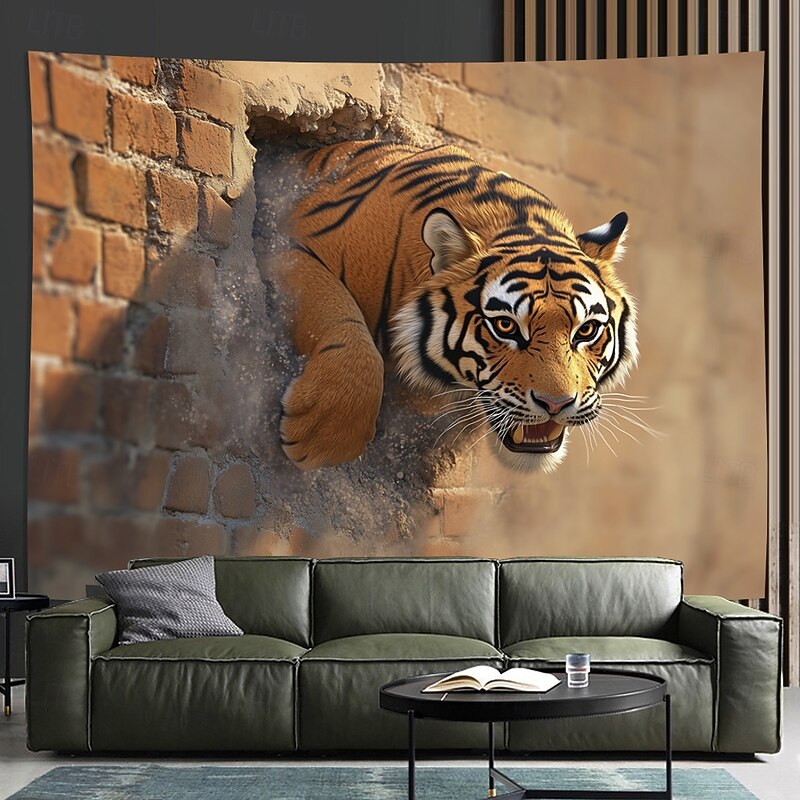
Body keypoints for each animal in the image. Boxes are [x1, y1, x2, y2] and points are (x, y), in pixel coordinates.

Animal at [274, 140, 637, 472]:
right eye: (505, 325)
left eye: (586, 330)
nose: (556, 404)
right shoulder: (284, 247)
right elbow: (343, 318)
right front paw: (323, 441)